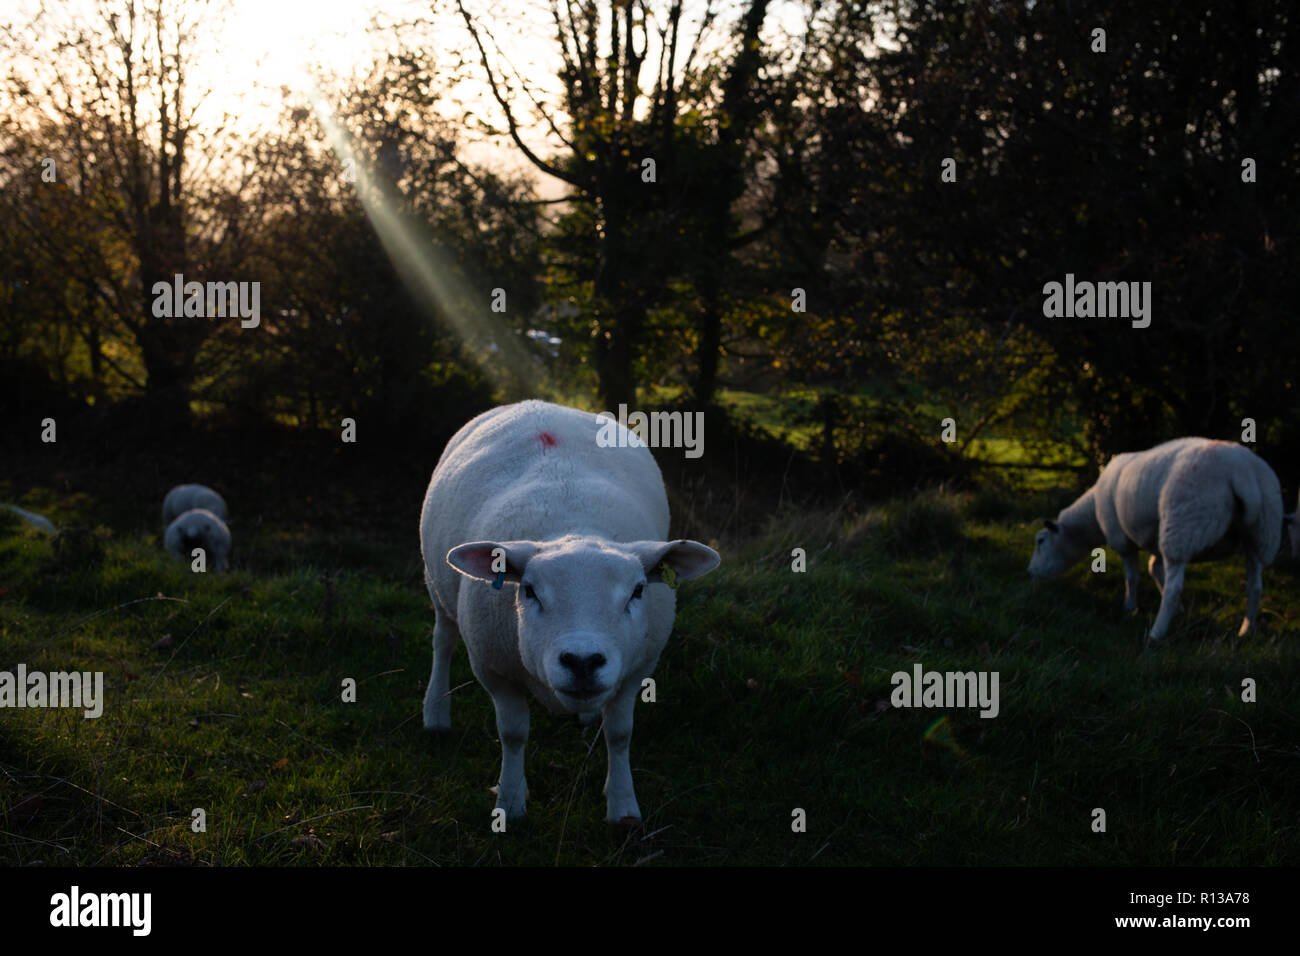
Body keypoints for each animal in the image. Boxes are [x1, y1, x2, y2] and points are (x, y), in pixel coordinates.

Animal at [418, 395, 717, 822]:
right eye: (529, 591)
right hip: (436, 584)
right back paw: (436, 713)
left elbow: (620, 734)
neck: (574, 526)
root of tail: (539, 404)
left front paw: (623, 806)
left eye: (637, 591)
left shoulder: (638, 668)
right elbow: (513, 734)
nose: (582, 661)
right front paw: (510, 802)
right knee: (442, 640)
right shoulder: (494, 669)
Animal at [1029, 437, 1284, 639]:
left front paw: (1129, 608)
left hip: (1183, 527)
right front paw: (1179, 611)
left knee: (1174, 587)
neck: (1092, 516)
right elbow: (1155, 570)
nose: (1030, 572)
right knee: (1255, 586)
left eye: (1040, 541)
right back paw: (1246, 631)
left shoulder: (1123, 541)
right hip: (1262, 533)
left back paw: (1156, 633)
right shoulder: (1155, 542)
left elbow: (1133, 577)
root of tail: (1242, 472)